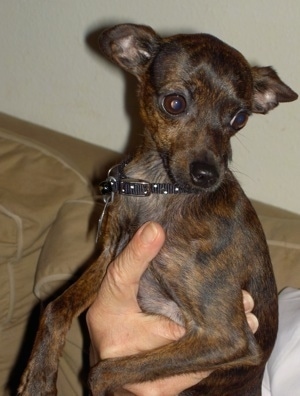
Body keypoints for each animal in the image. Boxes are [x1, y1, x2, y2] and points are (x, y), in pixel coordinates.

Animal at [19, 24, 298, 396]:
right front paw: (38, 376)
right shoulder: (109, 257)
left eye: (239, 119)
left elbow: (102, 372)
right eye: (174, 103)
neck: (158, 188)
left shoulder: (228, 337)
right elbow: (55, 307)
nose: (207, 175)